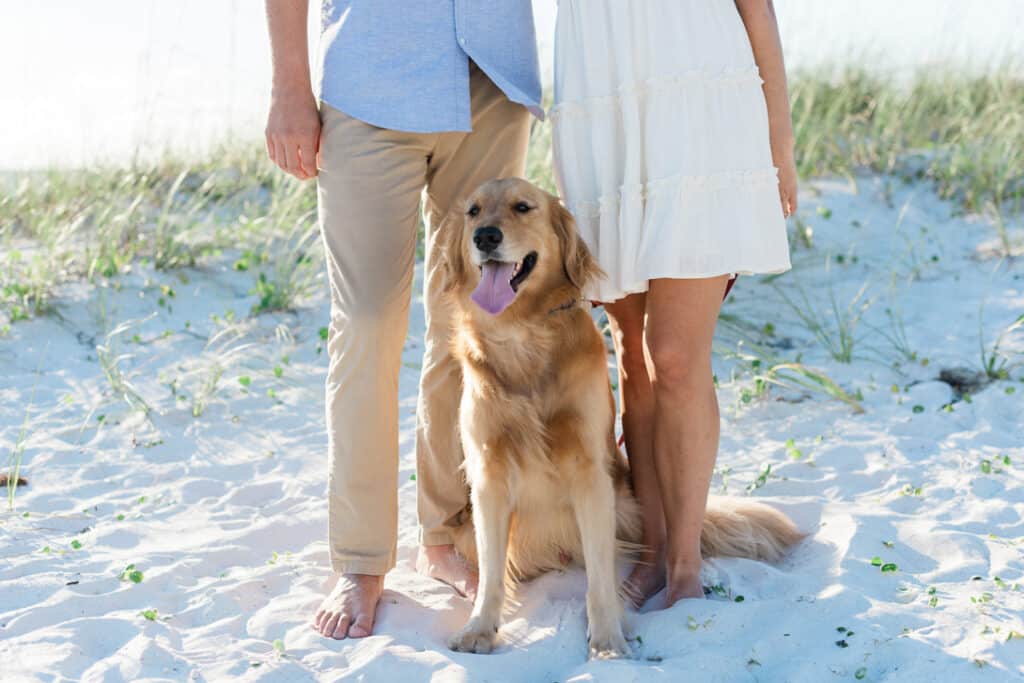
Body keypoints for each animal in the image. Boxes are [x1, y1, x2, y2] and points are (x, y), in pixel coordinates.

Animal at [444, 179, 802, 659]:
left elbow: (599, 578)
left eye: (523, 207)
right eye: (473, 211)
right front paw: (480, 628)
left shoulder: (591, 473)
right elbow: (491, 573)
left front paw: (607, 640)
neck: (524, 335)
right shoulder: (489, 475)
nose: (485, 237)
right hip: (468, 528)